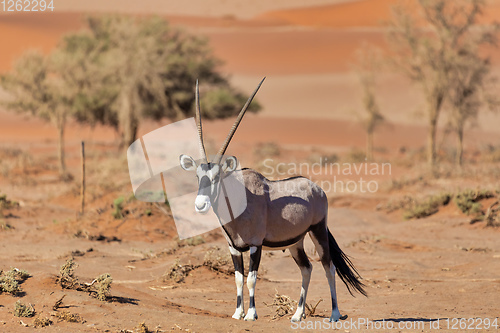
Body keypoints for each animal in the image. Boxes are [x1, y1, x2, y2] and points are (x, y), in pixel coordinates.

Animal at [180, 78, 368, 322]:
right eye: (197, 176)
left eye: (217, 177)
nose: (200, 204)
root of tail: (316, 188)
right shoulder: (233, 248)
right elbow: (238, 278)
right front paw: (237, 313)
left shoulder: (255, 245)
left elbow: (251, 278)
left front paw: (251, 314)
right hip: (296, 242)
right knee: (307, 268)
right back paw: (298, 314)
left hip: (318, 231)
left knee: (329, 267)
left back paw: (334, 314)